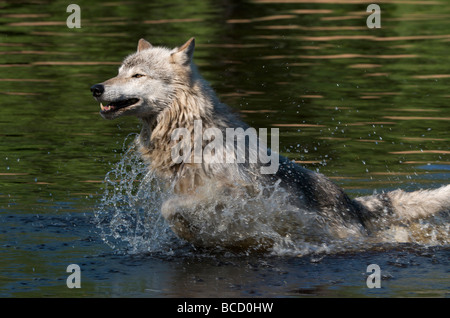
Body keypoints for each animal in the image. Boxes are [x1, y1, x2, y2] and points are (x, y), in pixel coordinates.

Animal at [89, 38, 448, 251]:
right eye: (118, 71)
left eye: (137, 75)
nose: (96, 88)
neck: (191, 132)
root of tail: (351, 201)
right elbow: (175, 212)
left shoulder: (231, 193)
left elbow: (172, 208)